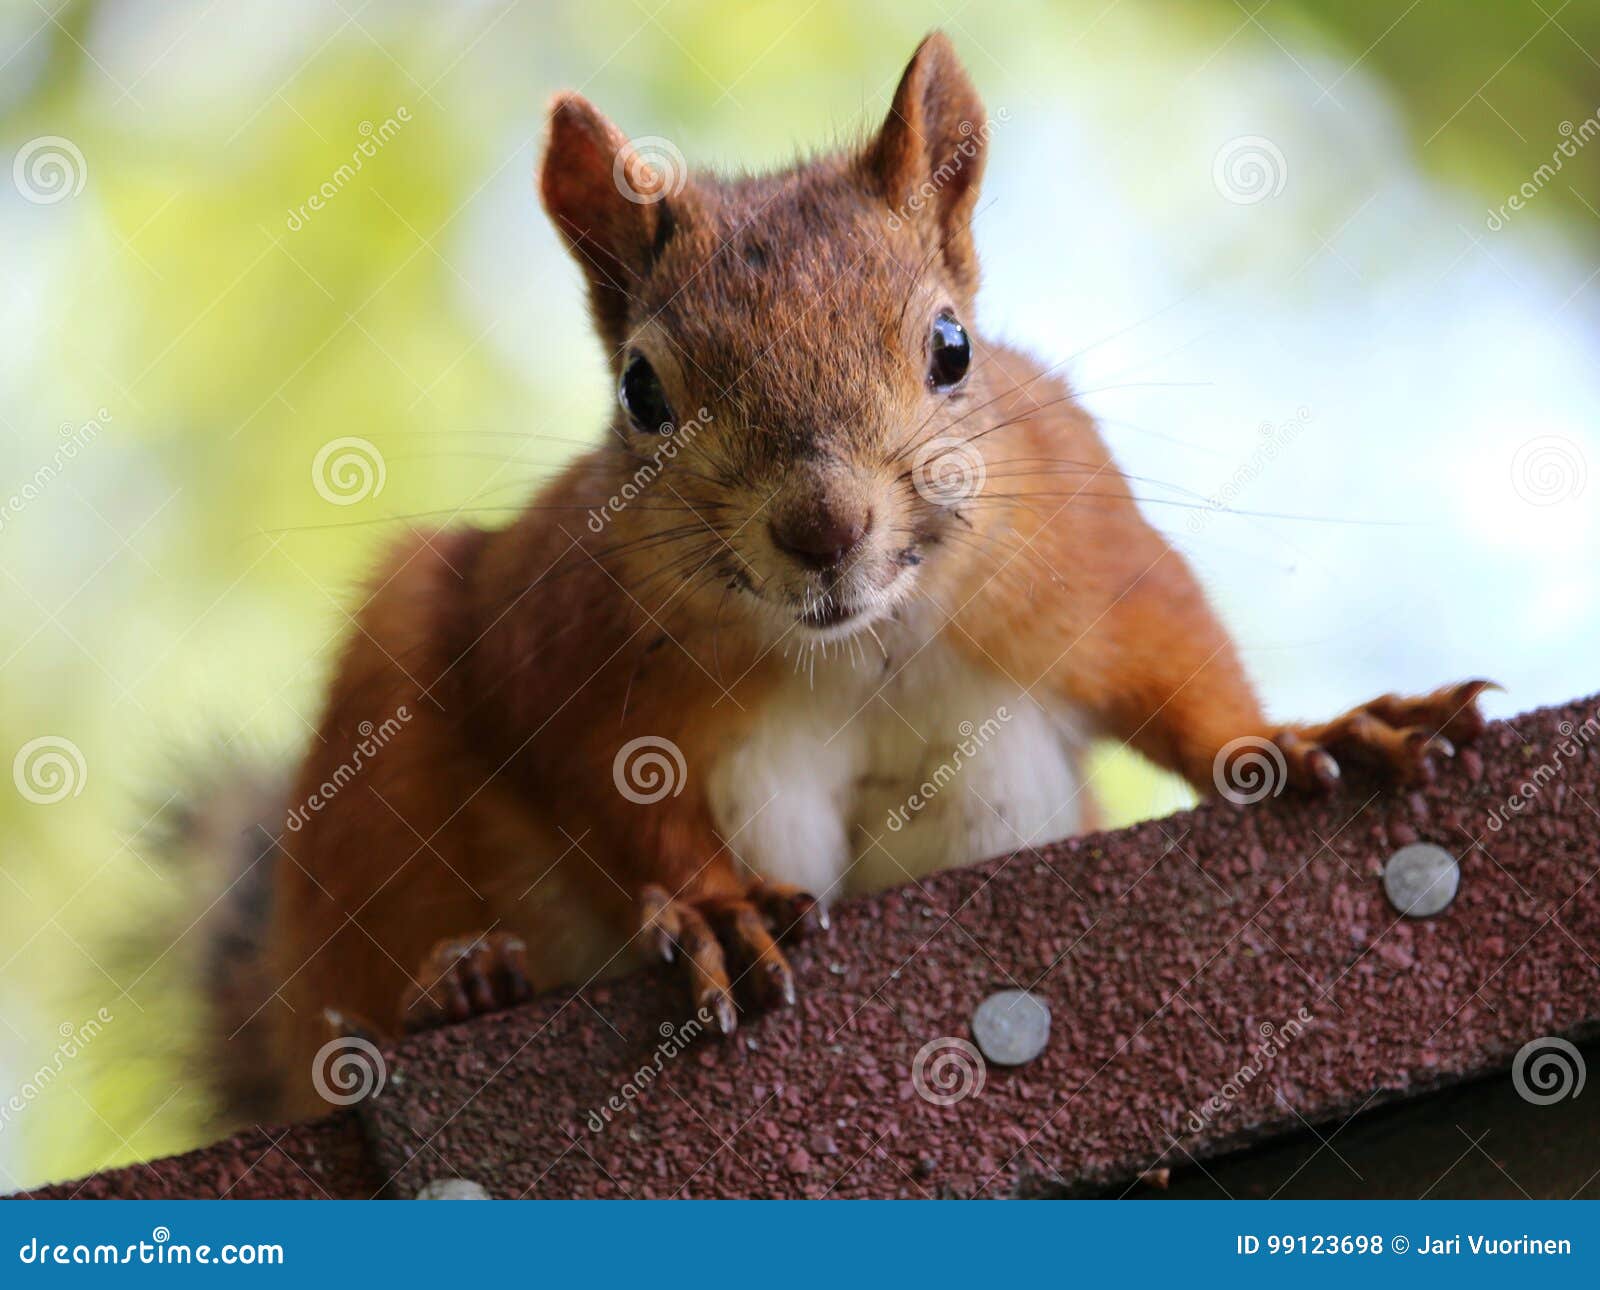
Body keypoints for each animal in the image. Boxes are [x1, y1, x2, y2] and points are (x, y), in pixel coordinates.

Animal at [187, 32, 1490, 1125]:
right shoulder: (561, 637)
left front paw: (1317, 737)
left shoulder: (1083, 550)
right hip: (381, 763)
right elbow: (603, 788)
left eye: (952, 347)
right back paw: (463, 981)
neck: (857, 642)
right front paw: (710, 905)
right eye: (640, 391)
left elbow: (1180, 679)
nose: (824, 527)